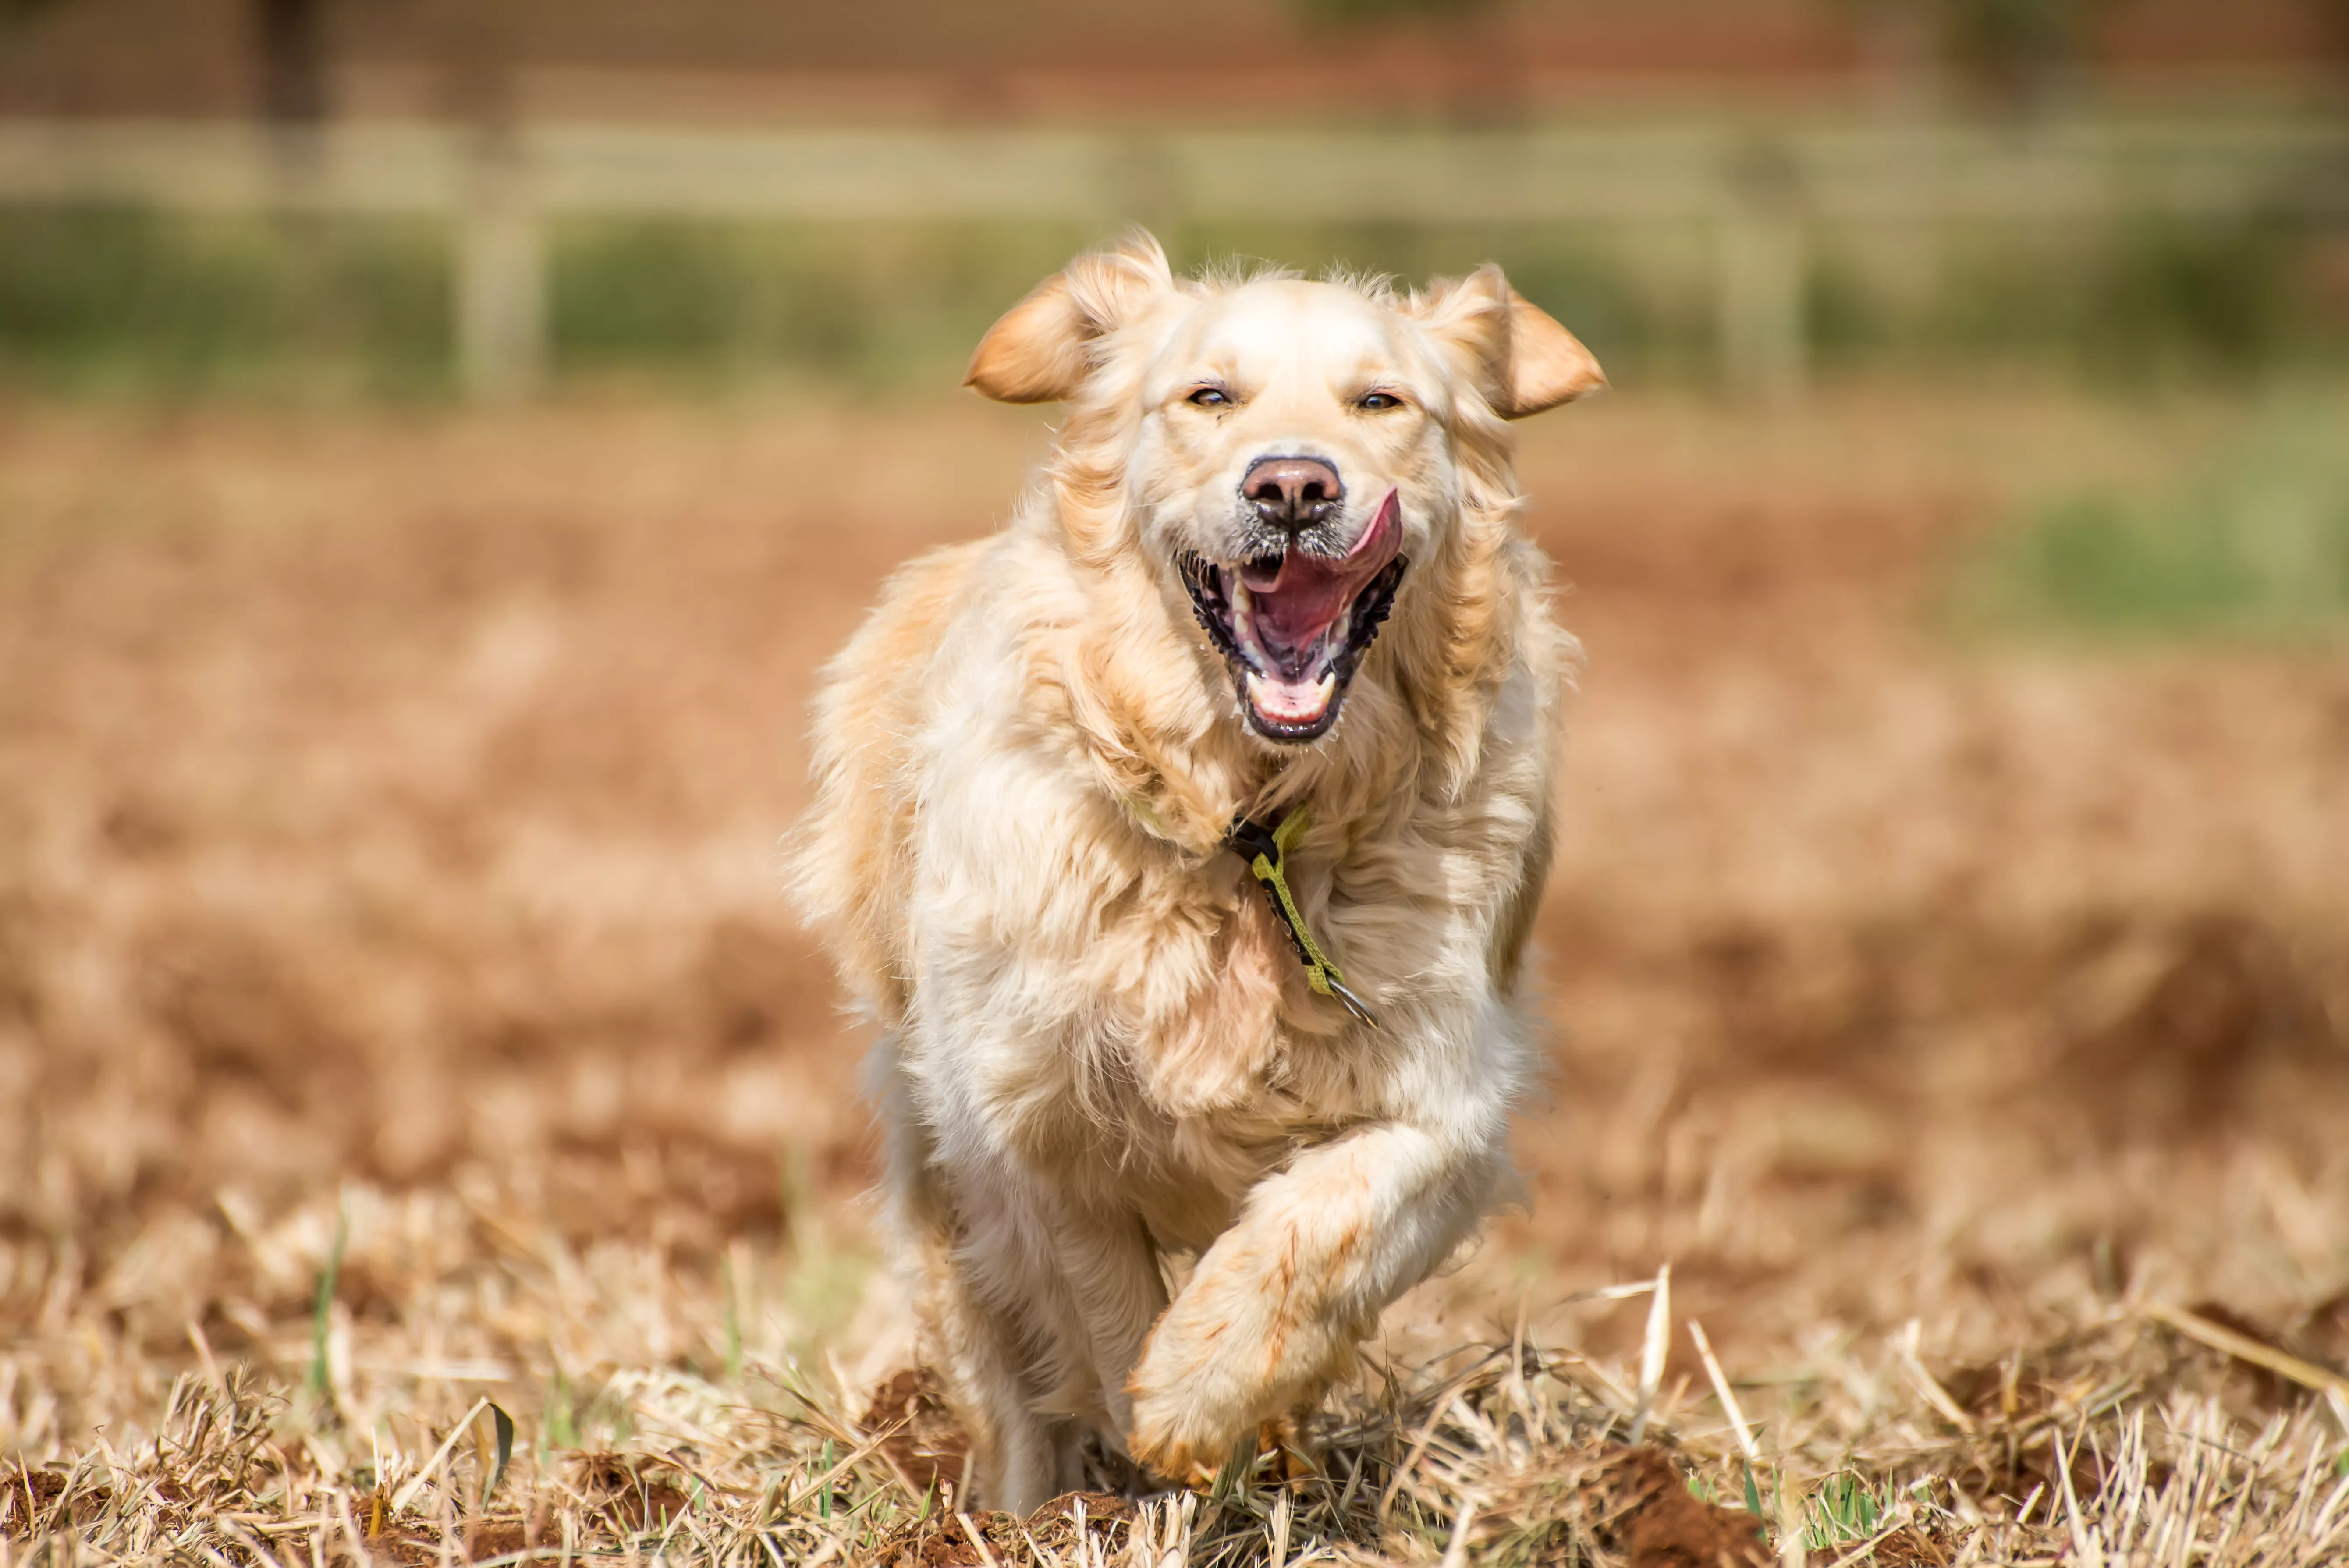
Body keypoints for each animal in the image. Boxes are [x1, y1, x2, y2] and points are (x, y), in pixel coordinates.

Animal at [798, 230, 1607, 1502]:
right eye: (1208, 397)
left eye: (1382, 402)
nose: (1293, 489)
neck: (1249, 824)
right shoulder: (1023, 1118)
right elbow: (1099, 1292)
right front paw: (1146, 1425)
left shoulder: (1447, 1097)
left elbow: (1321, 1223)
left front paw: (1203, 1387)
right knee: (1001, 1389)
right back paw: (1024, 1512)